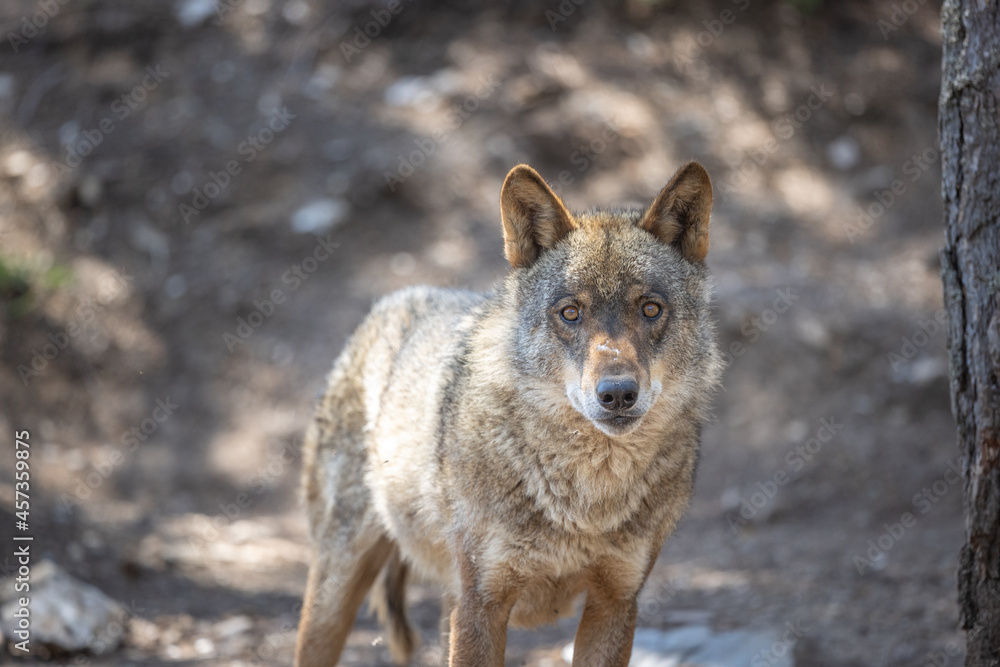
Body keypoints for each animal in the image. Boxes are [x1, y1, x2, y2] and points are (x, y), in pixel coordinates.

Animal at [294, 161, 722, 667]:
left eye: (651, 309)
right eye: (571, 313)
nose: (617, 394)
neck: (587, 503)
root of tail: (388, 303)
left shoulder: (615, 602)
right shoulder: (482, 603)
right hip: (338, 591)